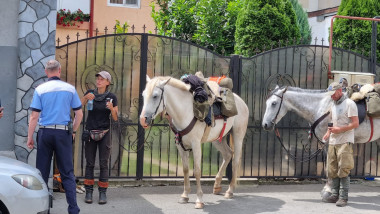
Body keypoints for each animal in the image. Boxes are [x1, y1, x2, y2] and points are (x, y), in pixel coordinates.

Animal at [140, 75, 249, 209]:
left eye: (155, 96)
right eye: (143, 95)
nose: (143, 120)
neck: (185, 112)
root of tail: (241, 102)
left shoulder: (196, 144)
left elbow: (197, 171)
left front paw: (199, 200)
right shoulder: (180, 146)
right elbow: (186, 169)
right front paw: (185, 196)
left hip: (238, 136)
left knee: (235, 161)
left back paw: (230, 191)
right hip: (218, 139)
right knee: (228, 154)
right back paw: (217, 186)